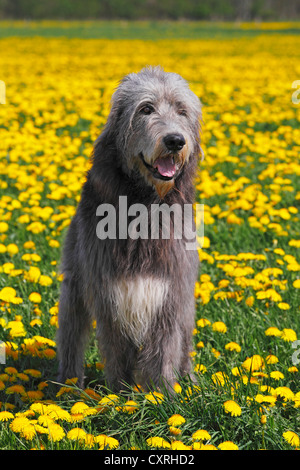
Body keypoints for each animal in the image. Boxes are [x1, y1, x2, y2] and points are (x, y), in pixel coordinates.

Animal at [56, 64, 202, 392]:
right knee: (71, 333)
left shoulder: (170, 289)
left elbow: (165, 346)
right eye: (146, 109)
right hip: (74, 283)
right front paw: (120, 395)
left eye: (182, 110)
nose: (175, 141)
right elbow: (116, 347)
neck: (144, 205)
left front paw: (163, 396)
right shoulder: (109, 290)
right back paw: (68, 385)